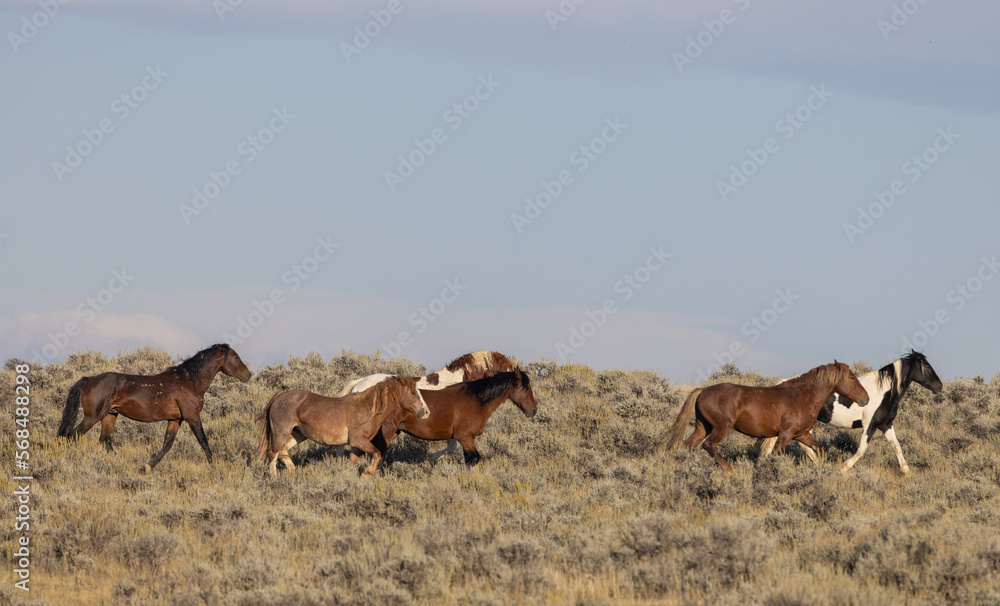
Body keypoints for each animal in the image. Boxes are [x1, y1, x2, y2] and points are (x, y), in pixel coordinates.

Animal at [57, 343, 252, 473]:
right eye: (235, 356)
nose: (248, 375)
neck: (189, 381)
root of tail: (89, 379)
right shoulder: (192, 416)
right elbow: (203, 441)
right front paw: (214, 467)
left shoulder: (175, 420)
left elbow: (167, 445)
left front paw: (147, 467)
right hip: (92, 417)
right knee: (73, 435)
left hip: (110, 416)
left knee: (105, 441)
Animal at [256, 376, 429, 477]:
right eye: (413, 393)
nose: (426, 412)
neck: (368, 409)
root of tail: (279, 396)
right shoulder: (358, 440)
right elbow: (377, 453)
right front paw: (366, 474)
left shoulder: (356, 445)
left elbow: (353, 461)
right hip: (281, 432)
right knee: (272, 453)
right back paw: (274, 478)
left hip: (299, 435)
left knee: (283, 451)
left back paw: (293, 472)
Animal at [372, 369, 537, 466]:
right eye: (526, 388)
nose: (533, 411)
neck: (475, 401)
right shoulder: (464, 437)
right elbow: (473, 458)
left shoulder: (467, 439)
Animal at [664, 361, 869, 473]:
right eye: (851, 378)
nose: (865, 398)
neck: (802, 397)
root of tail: (703, 390)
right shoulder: (785, 434)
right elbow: (774, 457)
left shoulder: (800, 434)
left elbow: (820, 449)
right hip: (722, 427)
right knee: (709, 445)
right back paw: (729, 471)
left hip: (702, 427)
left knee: (685, 448)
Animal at [757, 350, 942, 474]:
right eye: (926, 366)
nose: (939, 386)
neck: (884, 392)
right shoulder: (870, 425)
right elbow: (862, 449)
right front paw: (844, 468)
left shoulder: (886, 425)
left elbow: (896, 446)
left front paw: (906, 471)